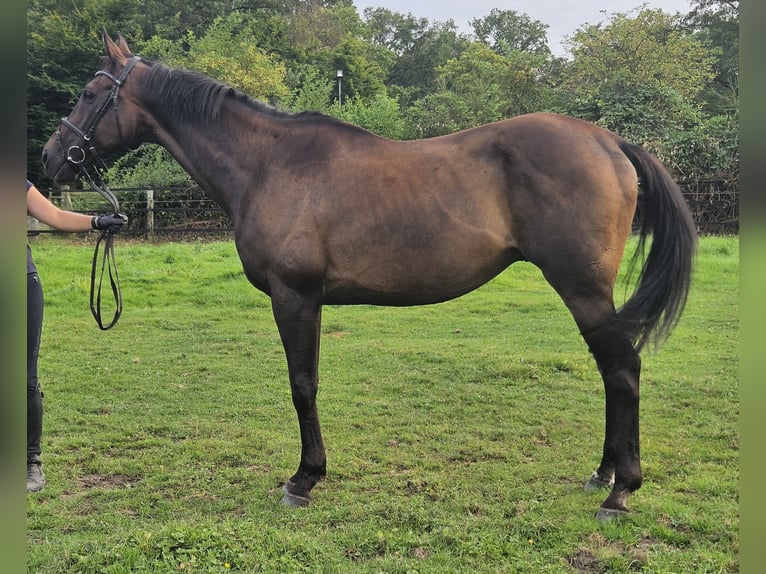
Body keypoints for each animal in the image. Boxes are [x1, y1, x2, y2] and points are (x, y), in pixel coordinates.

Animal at [43, 33, 704, 524]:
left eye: (88, 93)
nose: (52, 157)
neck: (267, 164)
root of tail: (609, 140)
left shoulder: (295, 297)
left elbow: (302, 384)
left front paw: (304, 479)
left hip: (583, 288)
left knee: (623, 369)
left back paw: (620, 491)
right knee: (613, 370)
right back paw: (604, 473)